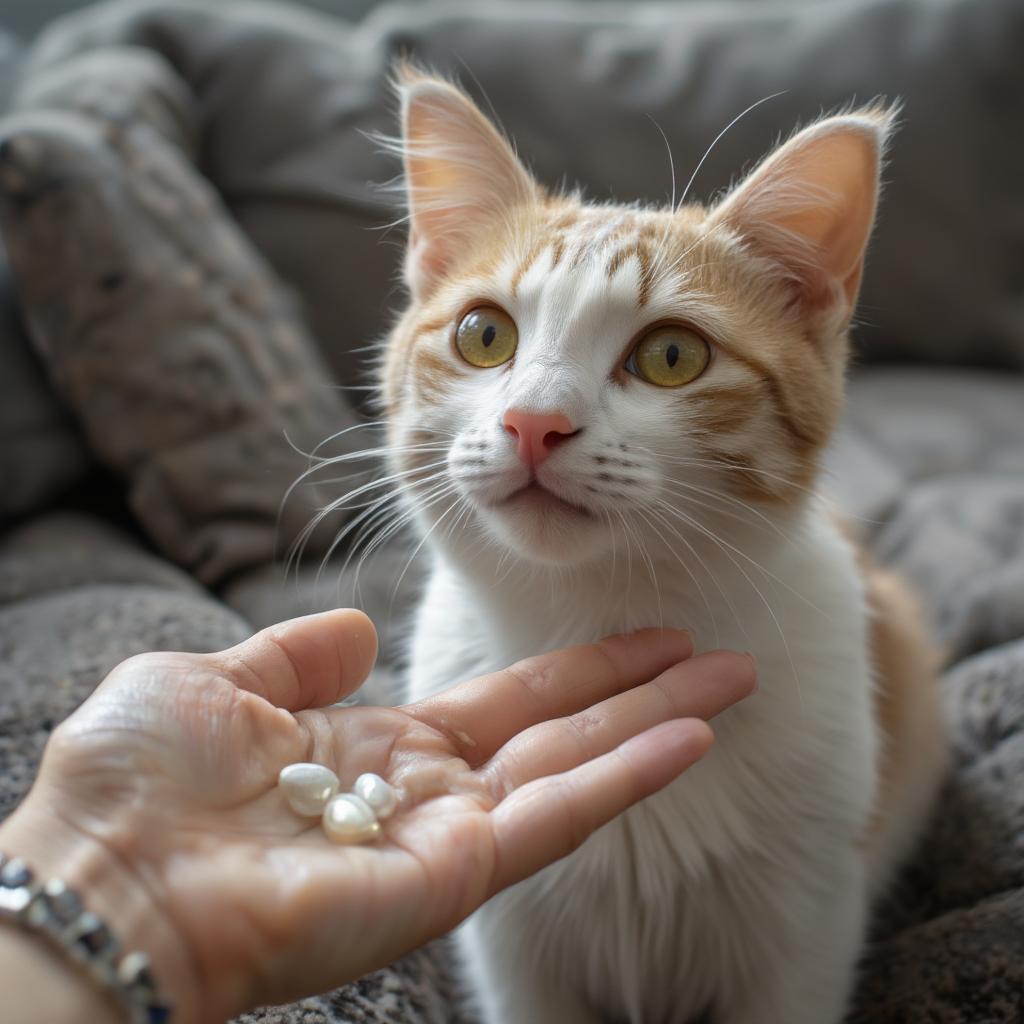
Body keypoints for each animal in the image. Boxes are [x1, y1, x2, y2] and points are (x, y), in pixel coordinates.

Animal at [372, 70, 946, 1024]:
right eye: (484, 335)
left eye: (673, 355)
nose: (533, 423)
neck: (598, 619)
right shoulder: (514, 947)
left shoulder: (806, 929)